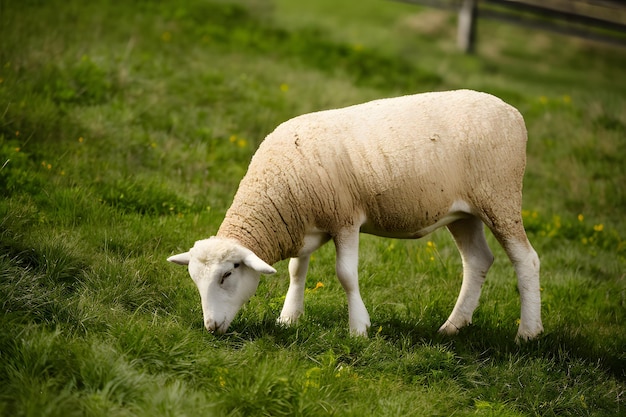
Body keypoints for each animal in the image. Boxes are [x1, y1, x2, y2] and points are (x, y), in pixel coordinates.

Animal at [167, 89, 540, 340]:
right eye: (195, 280)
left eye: (227, 275)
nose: (210, 328)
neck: (276, 190)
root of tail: (513, 113)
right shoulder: (303, 223)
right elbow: (296, 271)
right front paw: (289, 318)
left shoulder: (344, 218)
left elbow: (346, 275)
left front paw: (359, 328)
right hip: (464, 212)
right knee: (477, 261)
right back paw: (452, 326)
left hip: (500, 197)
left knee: (526, 260)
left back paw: (528, 332)